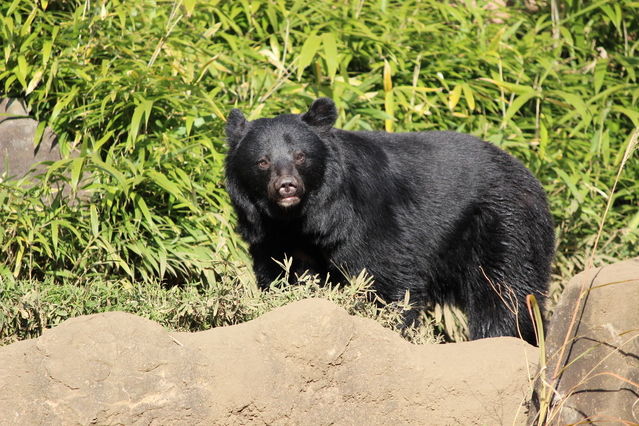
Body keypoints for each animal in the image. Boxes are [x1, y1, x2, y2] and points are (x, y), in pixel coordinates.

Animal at [225, 98, 556, 344]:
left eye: (300, 156)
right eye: (263, 161)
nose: (287, 187)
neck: (302, 218)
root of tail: (531, 178)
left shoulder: (366, 218)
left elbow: (386, 276)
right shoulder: (271, 236)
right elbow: (282, 275)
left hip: (503, 225)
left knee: (505, 291)